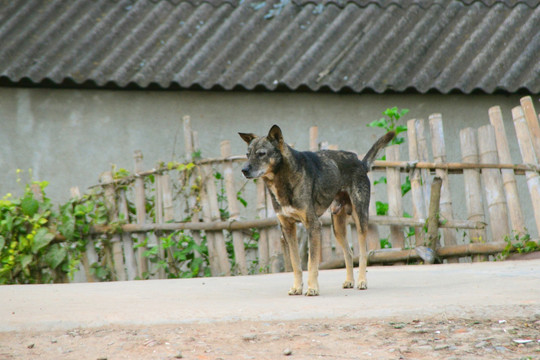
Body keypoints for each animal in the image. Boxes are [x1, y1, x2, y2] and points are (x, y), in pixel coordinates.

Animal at [239, 126, 392, 296]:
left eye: (261, 154)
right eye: (247, 154)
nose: (243, 170)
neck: (284, 178)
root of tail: (359, 162)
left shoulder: (313, 226)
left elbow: (312, 263)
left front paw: (312, 288)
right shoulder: (287, 228)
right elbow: (296, 263)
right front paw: (297, 287)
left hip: (360, 220)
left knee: (363, 253)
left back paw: (362, 281)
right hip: (337, 227)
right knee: (349, 253)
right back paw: (349, 281)